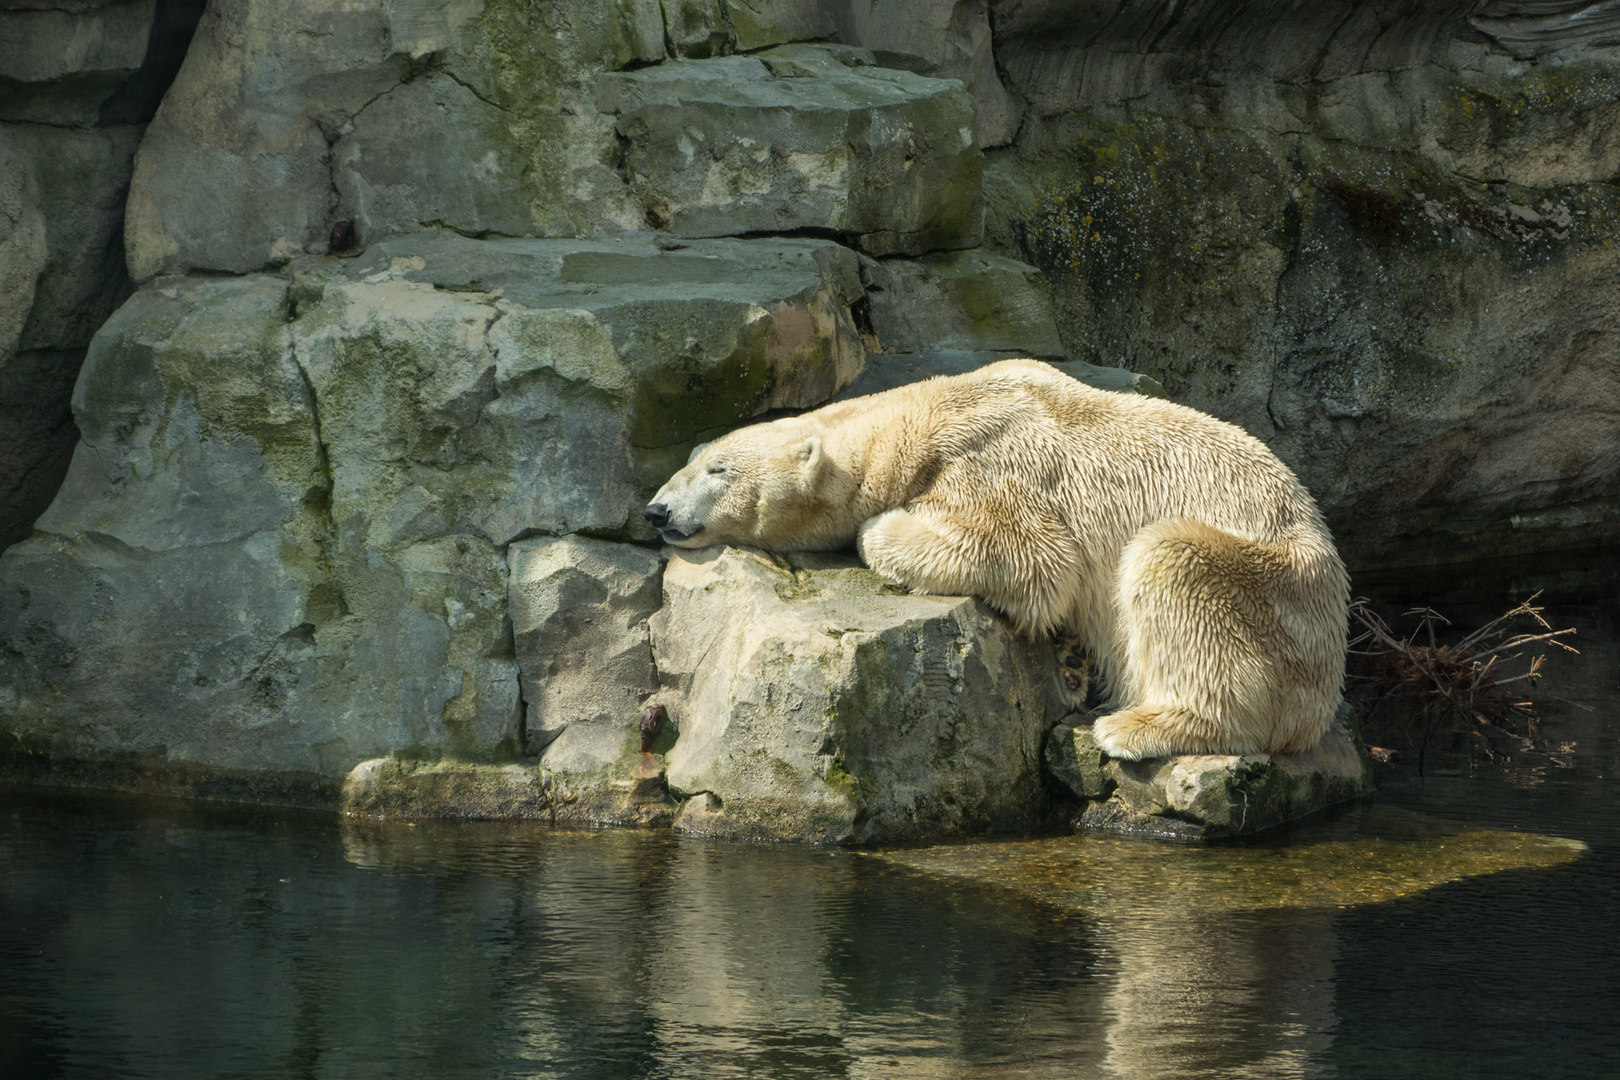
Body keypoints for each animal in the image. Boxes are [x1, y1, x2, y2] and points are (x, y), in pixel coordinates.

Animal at [638, 359, 1347, 757]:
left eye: (718, 468)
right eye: (695, 458)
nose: (656, 511)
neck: (926, 412)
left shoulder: (993, 456)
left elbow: (1031, 557)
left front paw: (881, 527)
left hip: (1277, 597)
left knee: (1174, 563)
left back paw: (1138, 726)